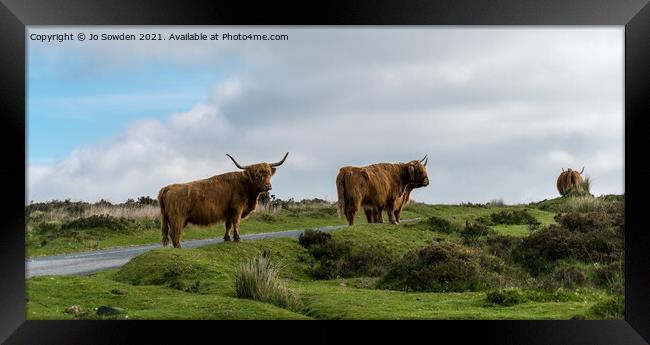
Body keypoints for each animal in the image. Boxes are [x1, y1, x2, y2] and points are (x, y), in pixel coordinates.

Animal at [156, 152, 288, 246]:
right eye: (257, 175)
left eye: (269, 174)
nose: (268, 186)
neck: (245, 185)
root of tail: (167, 187)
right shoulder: (237, 208)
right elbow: (236, 223)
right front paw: (237, 238)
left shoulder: (228, 211)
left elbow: (228, 225)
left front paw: (227, 238)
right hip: (177, 218)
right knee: (175, 233)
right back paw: (179, 248)